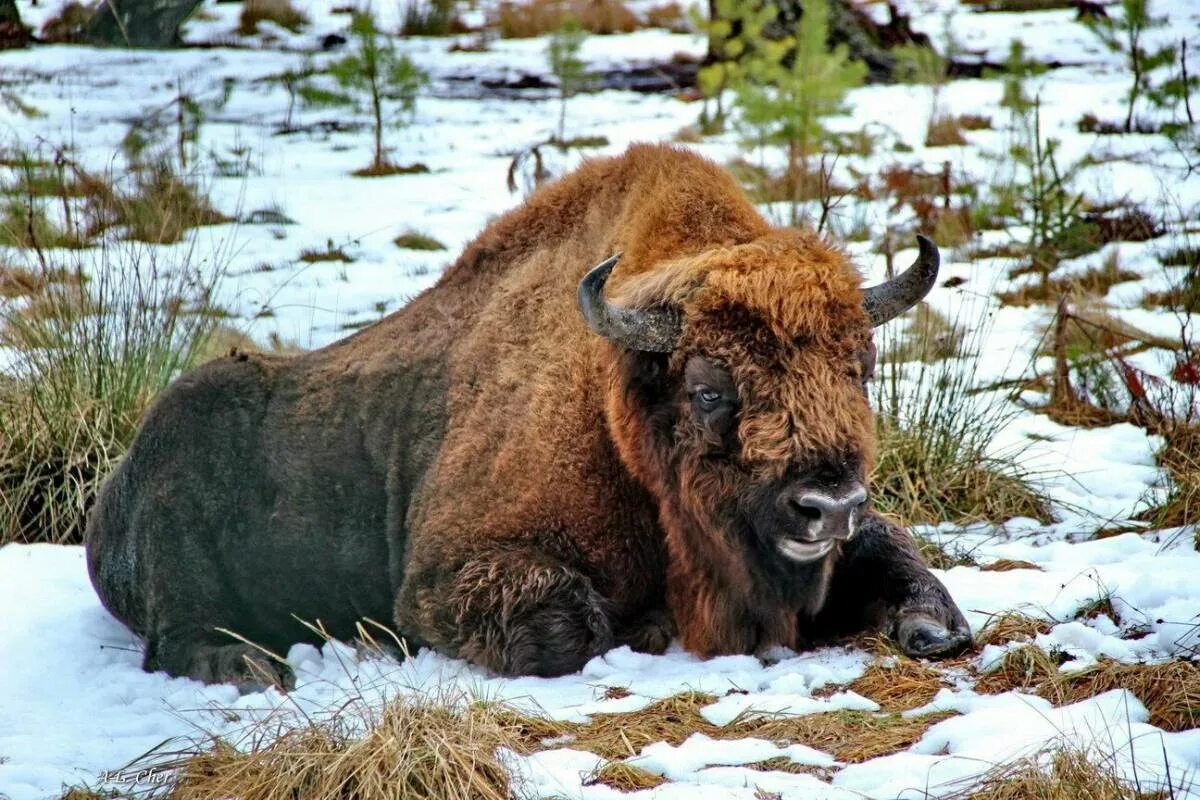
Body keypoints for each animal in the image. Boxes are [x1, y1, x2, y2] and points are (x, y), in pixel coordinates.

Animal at [91, 142, 974, 690]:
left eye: (860, 371)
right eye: (708, 389)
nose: (827, 505)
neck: (617, 411)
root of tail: (119, 480)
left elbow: (899, 554)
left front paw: (935, 629)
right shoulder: (445, 577)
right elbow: (574, 625)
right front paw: (647, 629)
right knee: (178, 637)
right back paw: (251, 669)